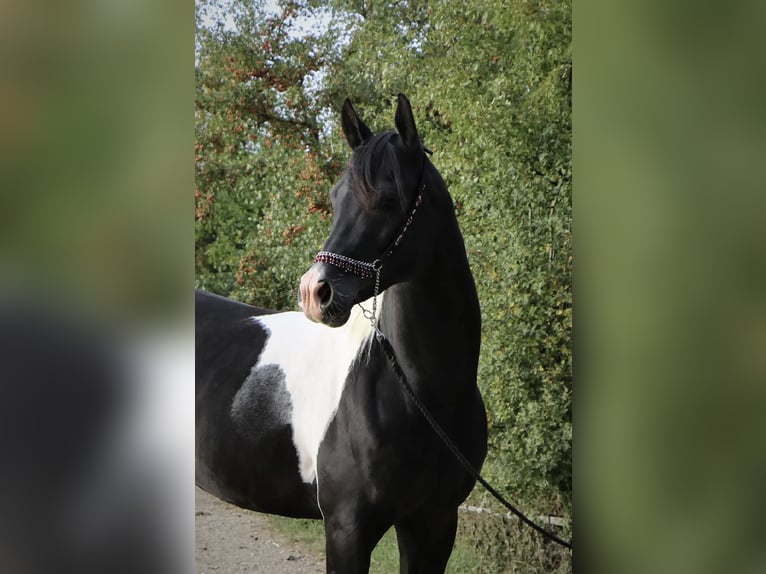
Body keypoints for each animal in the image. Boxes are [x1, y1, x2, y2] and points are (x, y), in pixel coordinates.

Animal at [196, 94, 487, 573]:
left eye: (388, 200)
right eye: (335, 198)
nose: (314, 291)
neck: (421, 395)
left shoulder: (434, 524)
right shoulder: (347, 529)